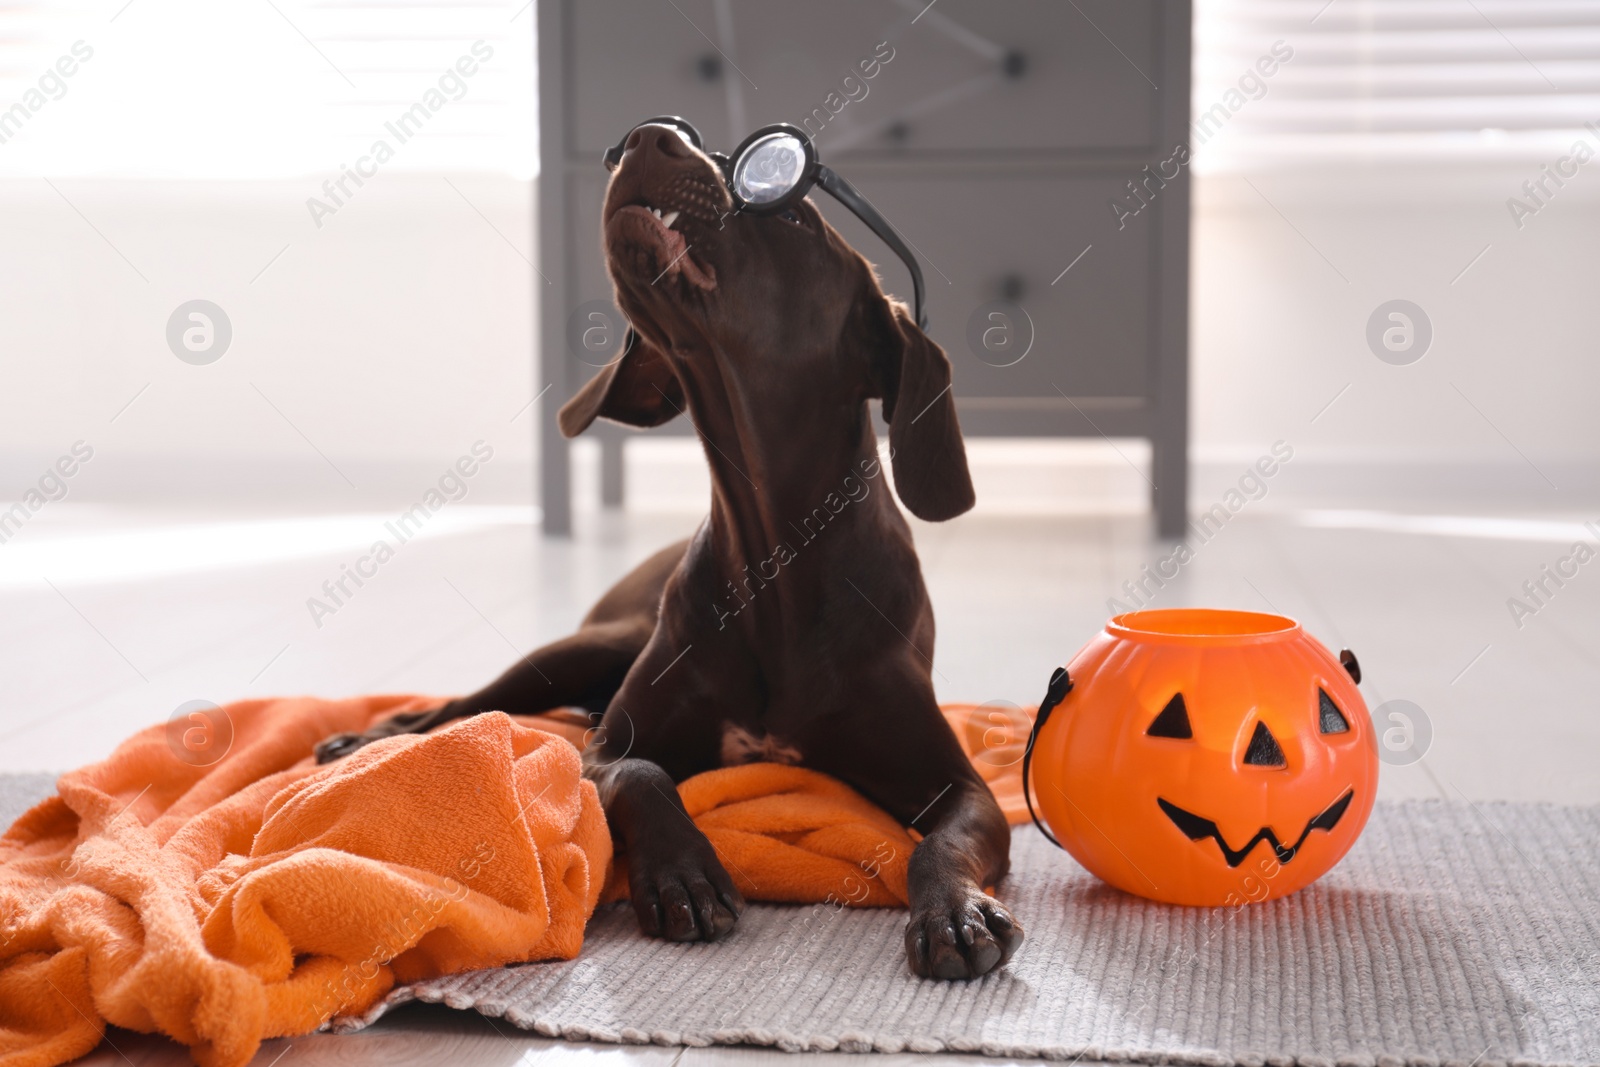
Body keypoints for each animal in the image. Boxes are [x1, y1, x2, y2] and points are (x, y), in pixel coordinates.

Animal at [316, 123, 1017, 979]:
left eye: (795, 217)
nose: (651, 135)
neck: (774, 560)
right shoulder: (602, 749)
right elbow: (641, 773)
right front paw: (683, 871)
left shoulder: (961, 785)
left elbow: (939, 843)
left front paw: (955, 910)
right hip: (584, 646)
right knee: (468, 705)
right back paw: (373, 734)